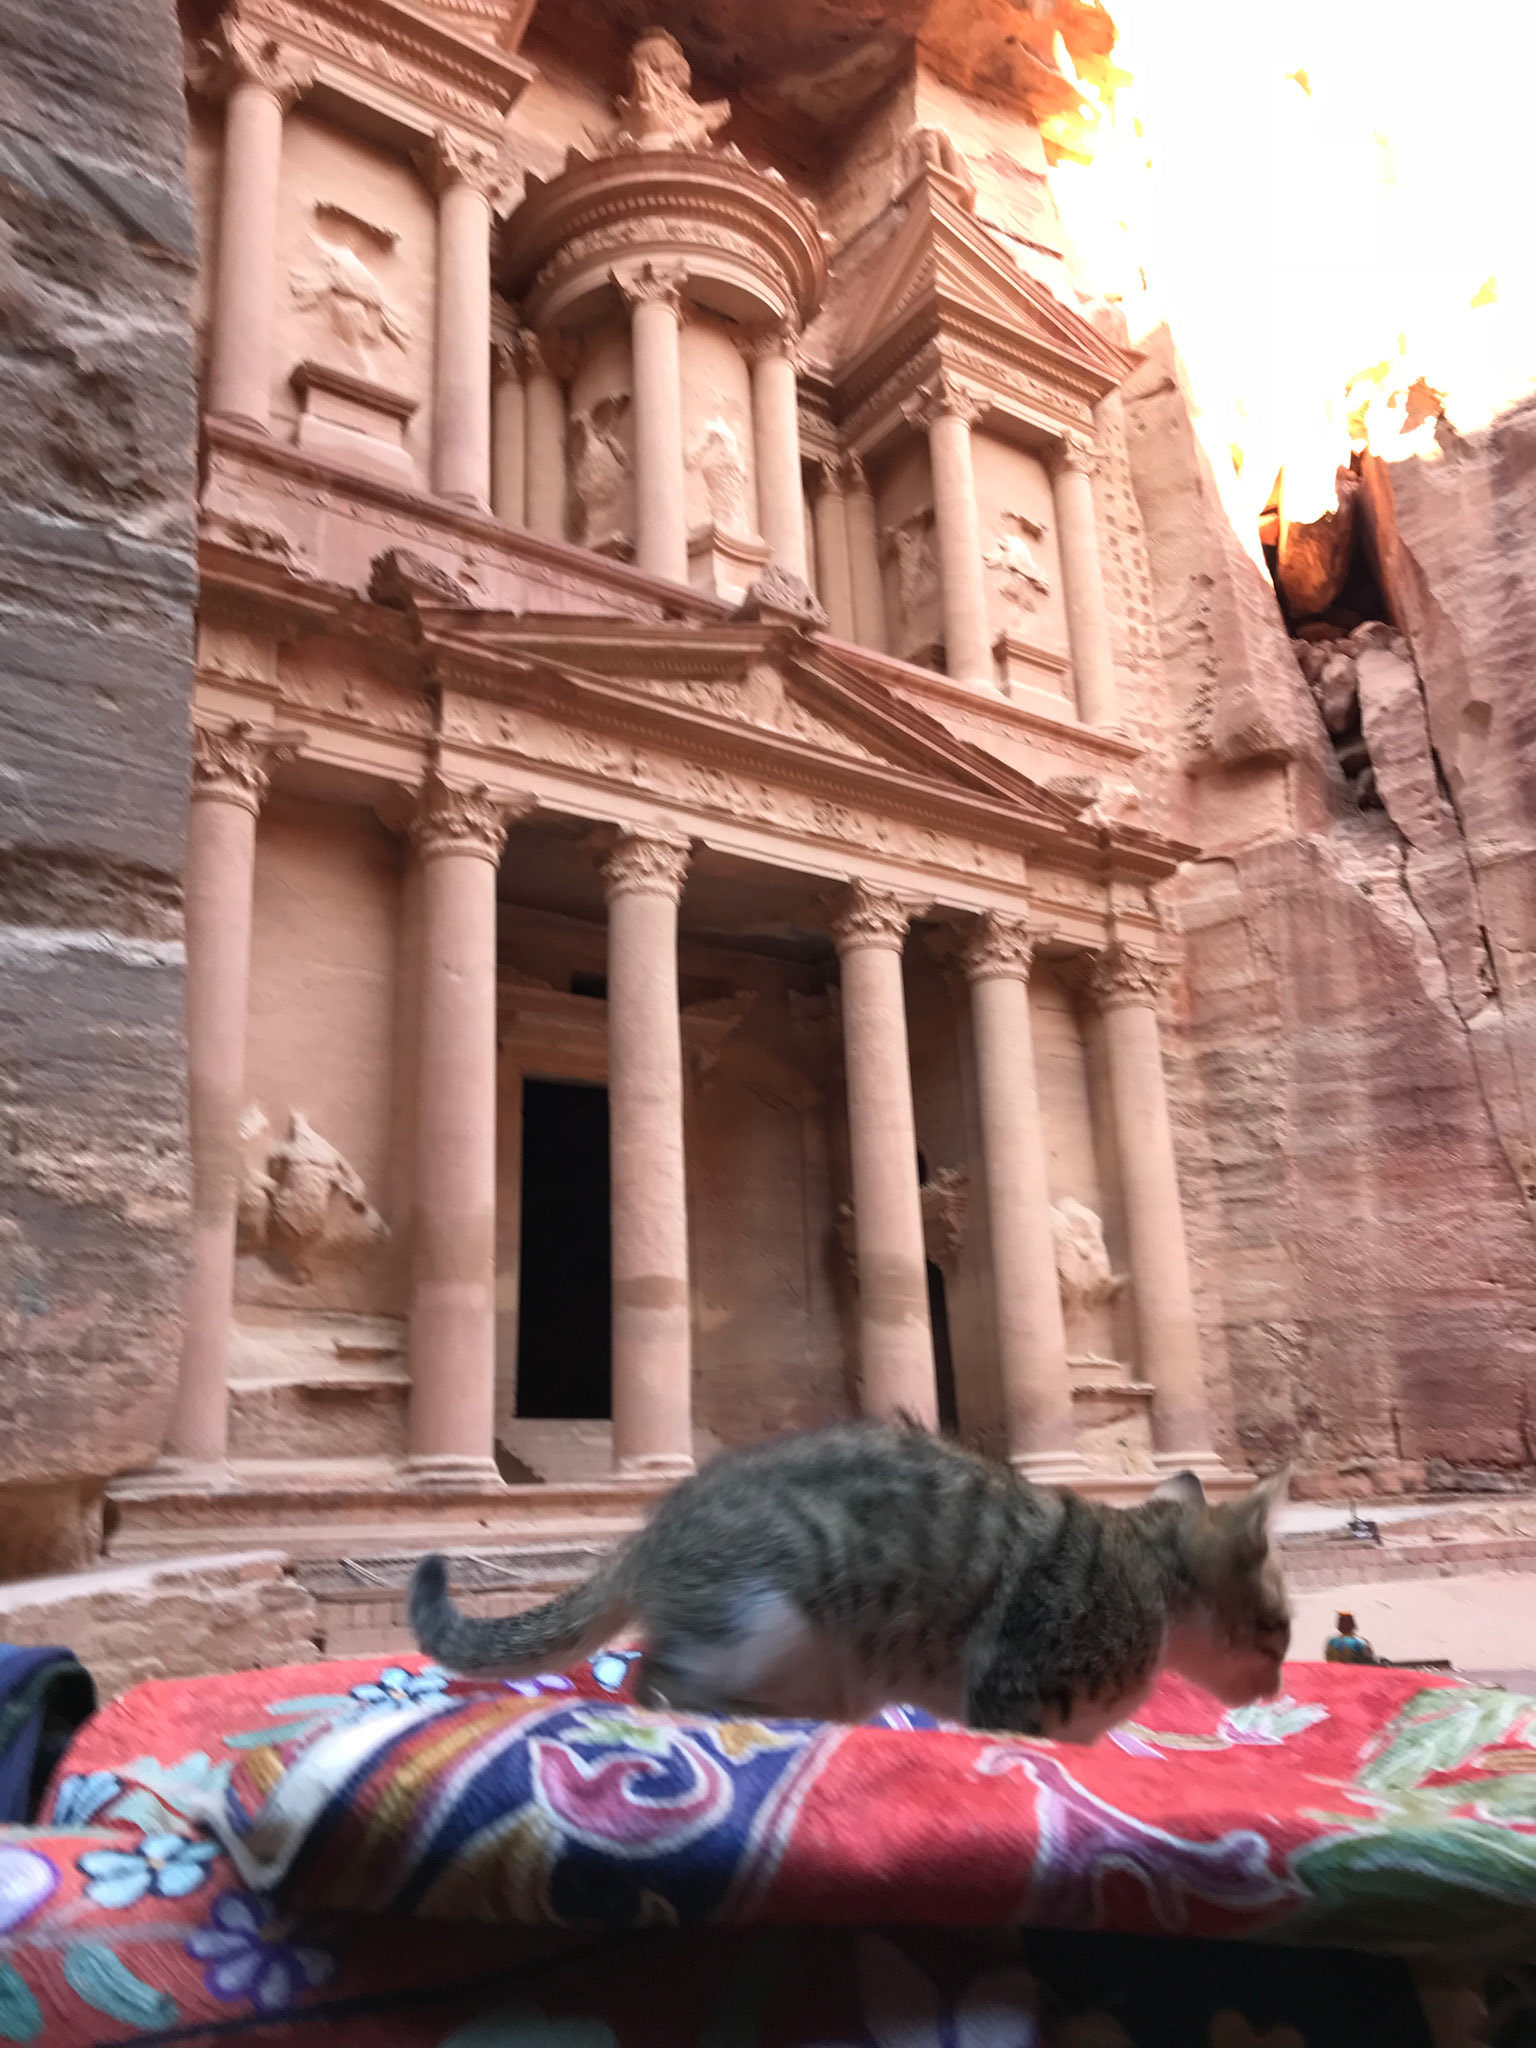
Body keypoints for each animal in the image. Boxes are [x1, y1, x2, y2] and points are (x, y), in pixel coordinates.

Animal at [408, 1422, 1291, 1741]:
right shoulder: (1014, 1688)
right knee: (649, 1683)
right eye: (1280, 1632)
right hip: (767, 1614)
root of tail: (650, 1534)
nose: (1279, 1683)